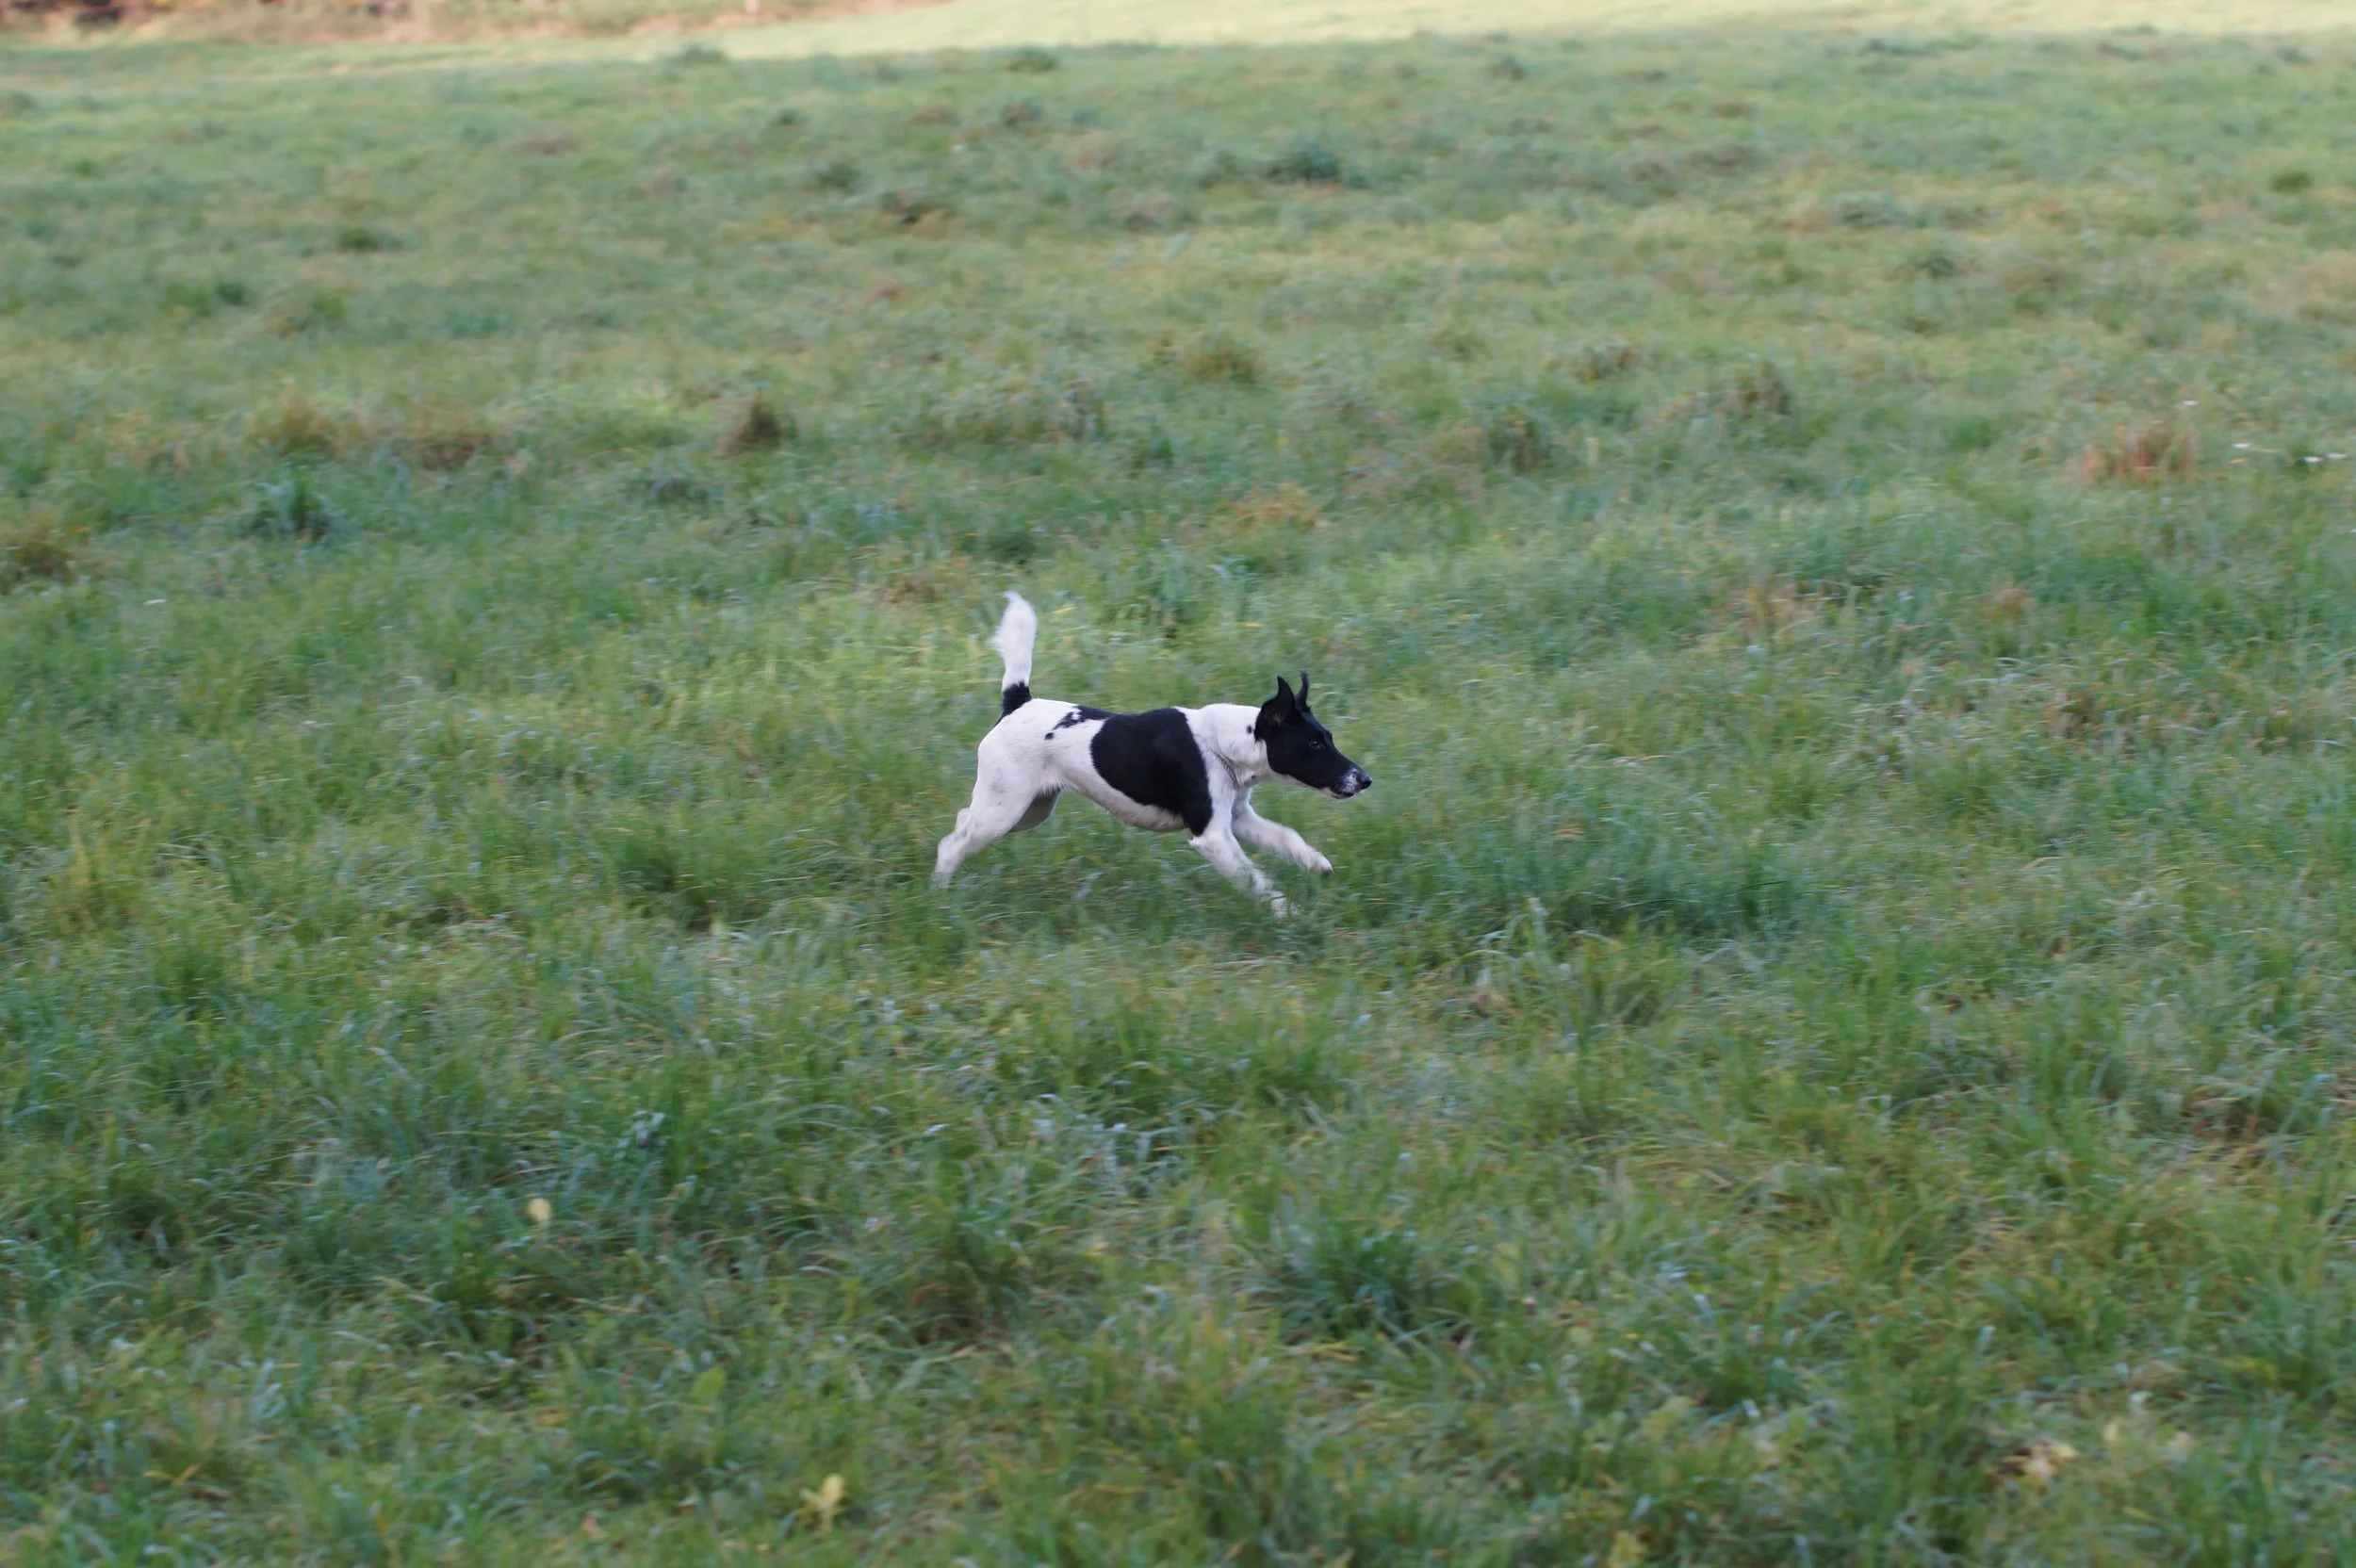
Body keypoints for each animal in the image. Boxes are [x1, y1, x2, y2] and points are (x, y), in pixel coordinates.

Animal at [932, 593, 1371, 915]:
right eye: (1314, 744)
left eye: (1328, 737)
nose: (1365, 780)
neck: (1221, 743)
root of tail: (1017, 702)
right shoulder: (1213, 836)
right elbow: (1254, 878)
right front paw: (1288, 913)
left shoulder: (1237, 818)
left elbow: (1286, 836)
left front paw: (1316, 863)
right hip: (1006, 810)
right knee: (952, 844)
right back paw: (941, 896)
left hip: (1027, 810)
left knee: (961, 822)